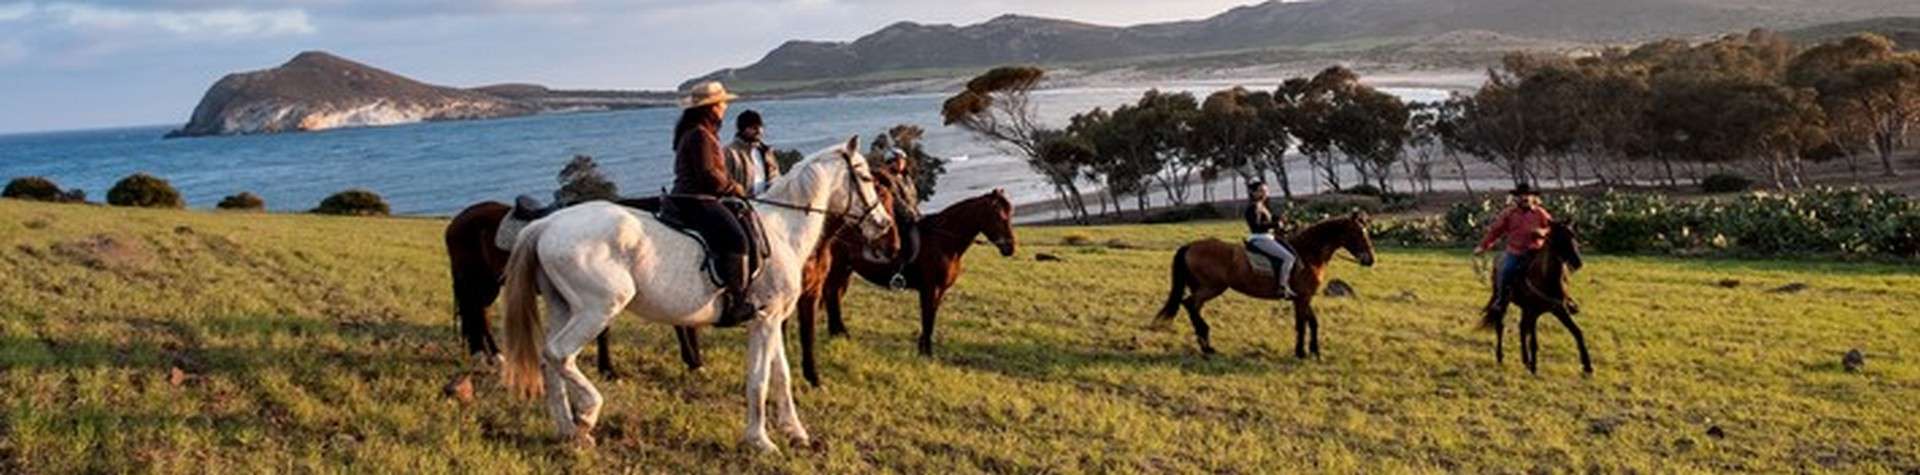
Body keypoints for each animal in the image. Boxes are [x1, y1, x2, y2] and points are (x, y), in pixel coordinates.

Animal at [499, 135, 894, 450]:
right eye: (865, 177)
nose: (883, 224)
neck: (782, 229)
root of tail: (546, 223)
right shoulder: (765, 321)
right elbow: (759, 380)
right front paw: (760, 441)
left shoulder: (772, 320)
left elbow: (781, 376)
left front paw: (795, 431)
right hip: (598, 309)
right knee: (559, 354)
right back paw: (586, 417)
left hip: (563, 308)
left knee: (549, 360)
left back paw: (567, 430)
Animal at [791, 189, 1021, 386]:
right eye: (999, 216)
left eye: (1010, 214)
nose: (1010, 248)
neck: (943, 241)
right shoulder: (930, 289)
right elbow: (928, 318)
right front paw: (927, 353)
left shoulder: (939, 291)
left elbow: (931, 317)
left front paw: (923, 349)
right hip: (838, 269)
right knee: (832, 295)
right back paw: (839, 333)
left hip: (844, 270)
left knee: (834, 296)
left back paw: (839, 334)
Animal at [1152, 213, 1382, 357]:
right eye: (1358, 233)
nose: (1370, 260)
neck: (1308, 253)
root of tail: (1191, 246)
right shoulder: (1302, 297)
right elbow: (1301, 324)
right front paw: (1301, 353)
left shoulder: (1303, 297)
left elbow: (1312, 323)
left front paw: (1315, 351)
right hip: (1212, 287)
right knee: (1190, 304)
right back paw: (1206, 343)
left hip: (1204, 288)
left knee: (1192, 306)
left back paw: (1206, 345)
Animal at [1482, 220, 1589, 375]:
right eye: (1559, 238)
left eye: (1573, 235)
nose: (1577, 262)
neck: (1545, 279)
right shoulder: (1533, 312)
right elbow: (1533, 341)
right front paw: (1534, 368)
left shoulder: (1559, 309)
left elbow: (1577, 332)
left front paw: (1587, 366)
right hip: (1503, 303)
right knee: (1500, 326)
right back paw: (1500, 357)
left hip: (1524, 308)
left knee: (1521, 327)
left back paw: (1525, 360)